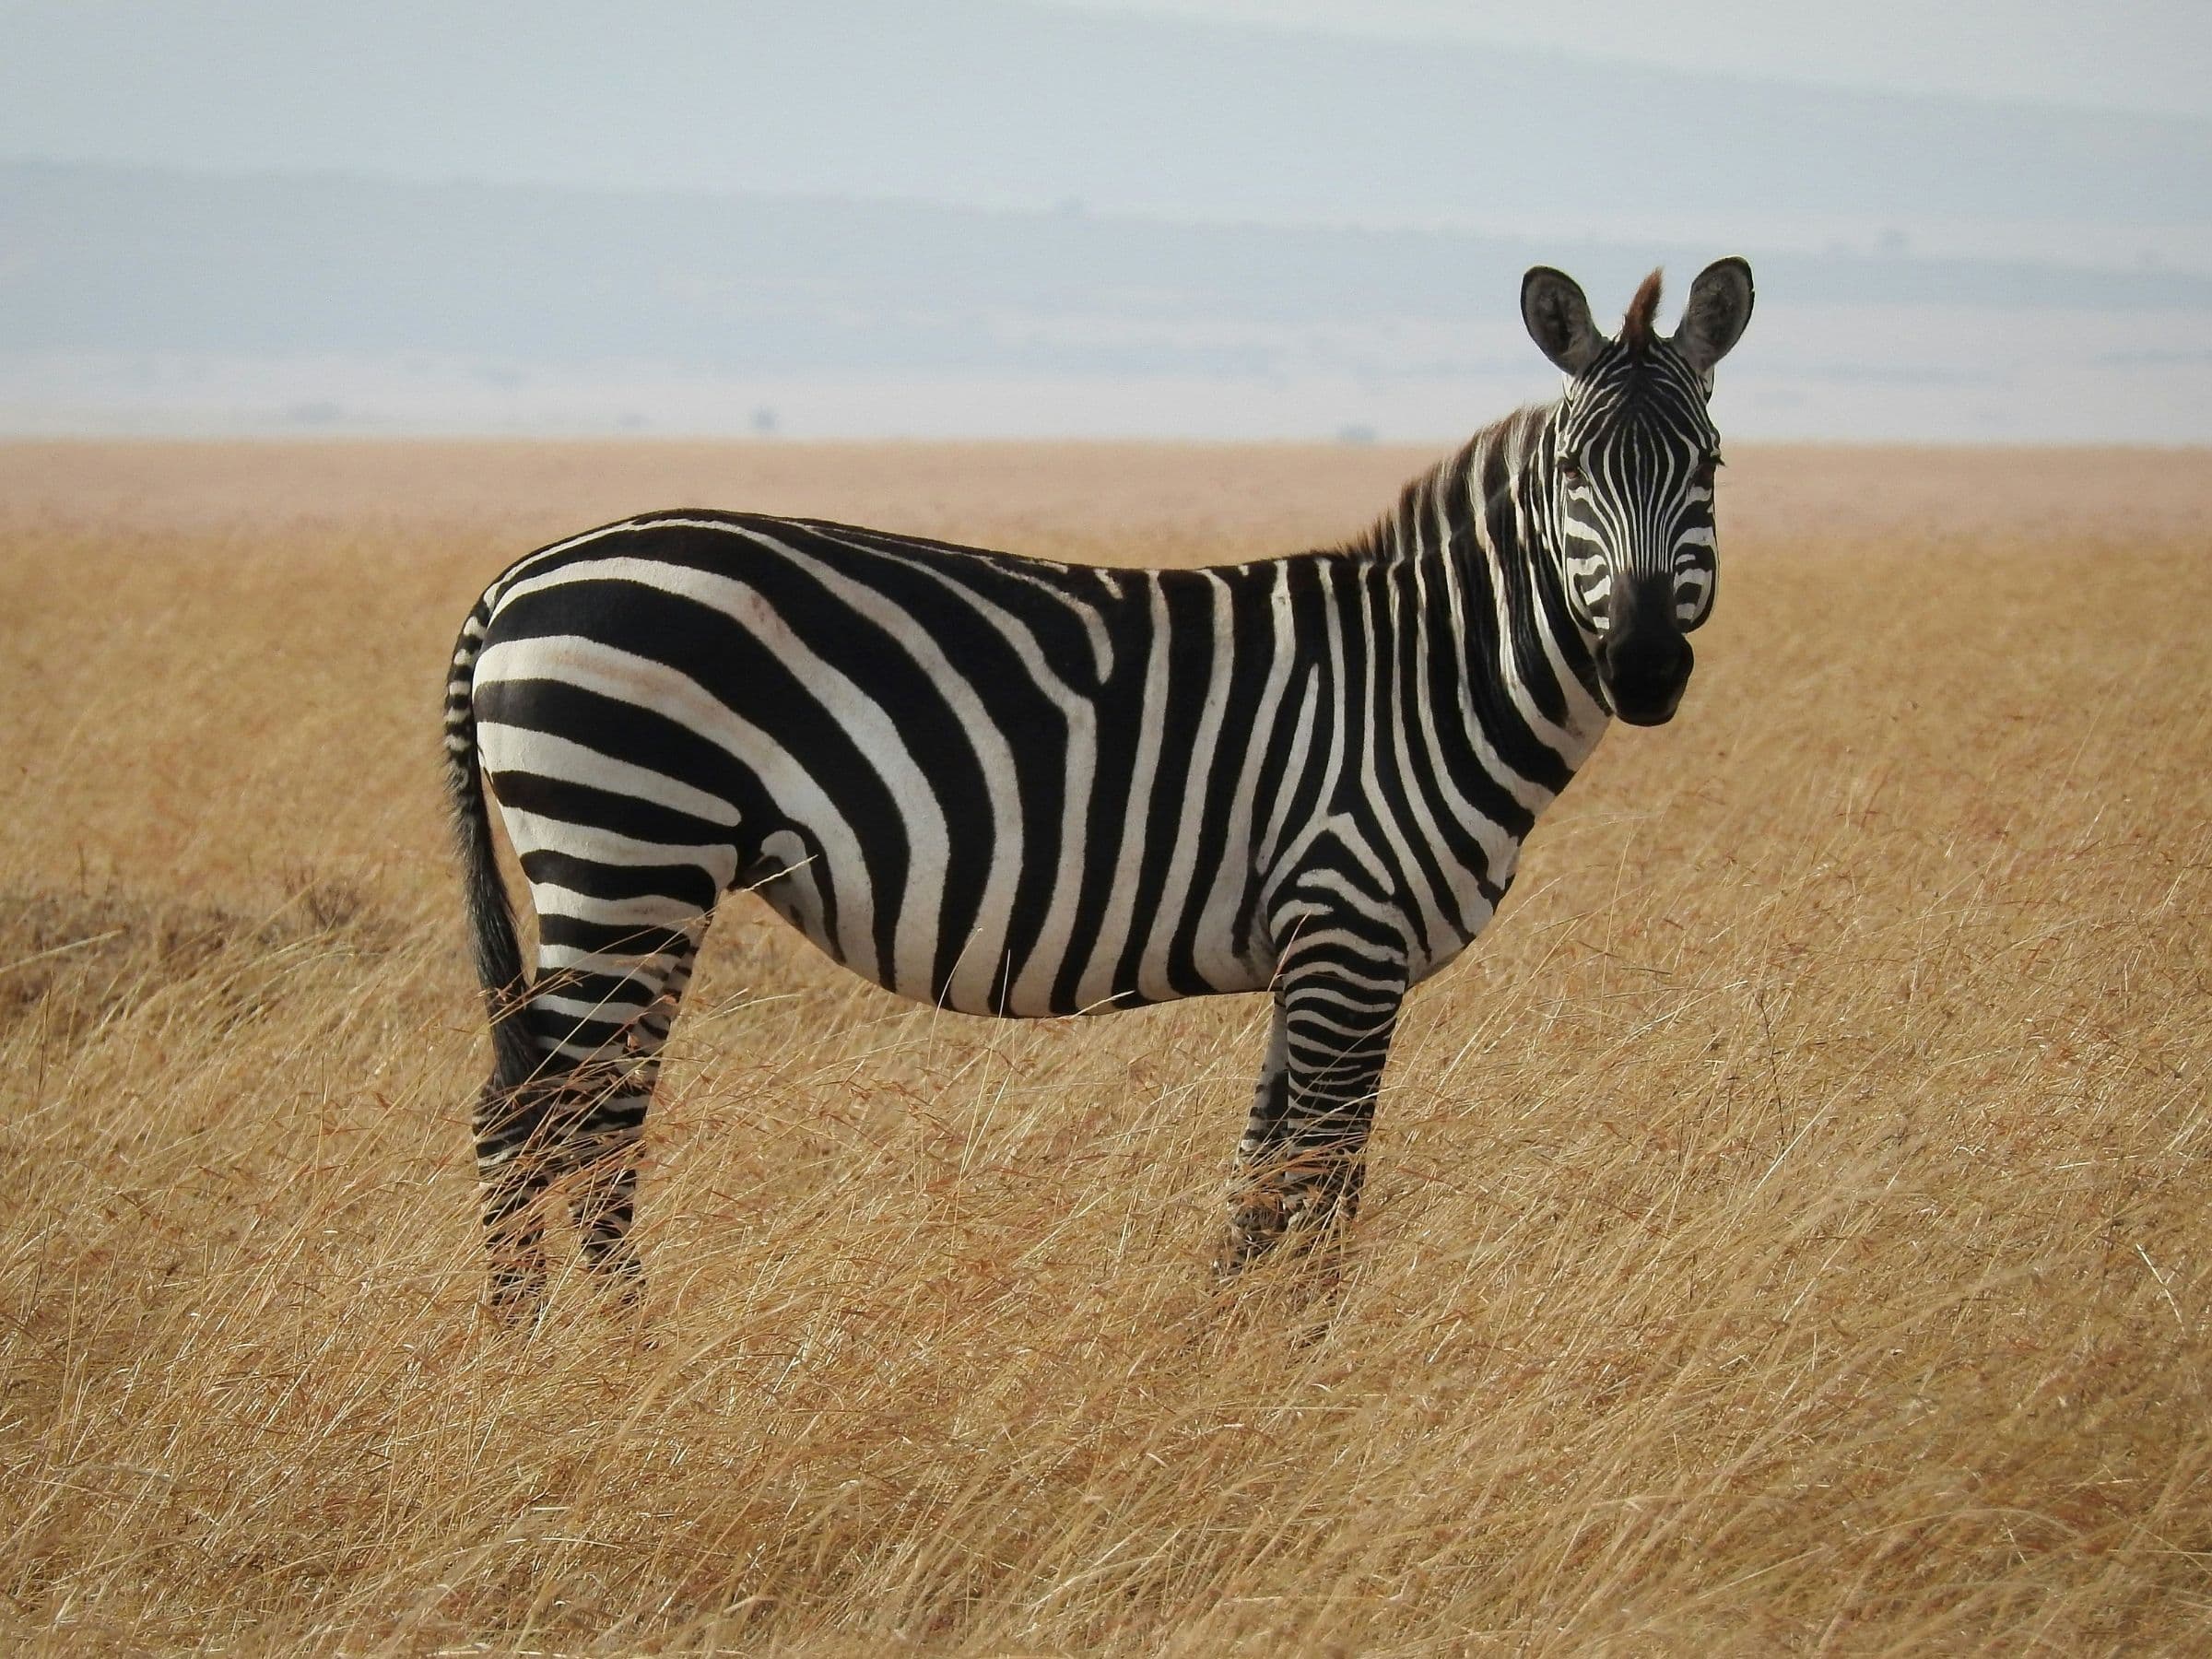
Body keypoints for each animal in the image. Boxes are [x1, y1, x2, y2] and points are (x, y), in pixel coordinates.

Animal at [445, 259, 1754, 1314]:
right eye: (1575, 472)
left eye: (1711, 466)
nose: (1645, 668)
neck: (1427, 678)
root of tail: (518, 577)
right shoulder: (1350, 930)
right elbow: (1326, 1182)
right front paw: (1314, 1370)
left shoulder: (1309, 951)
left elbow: (1258, 1182)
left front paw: (1219, 1359)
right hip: (630, 852)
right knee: (548, 1122)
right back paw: (584, 1362)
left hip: (639, 877)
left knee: (567, 1116)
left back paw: (569, 1352)